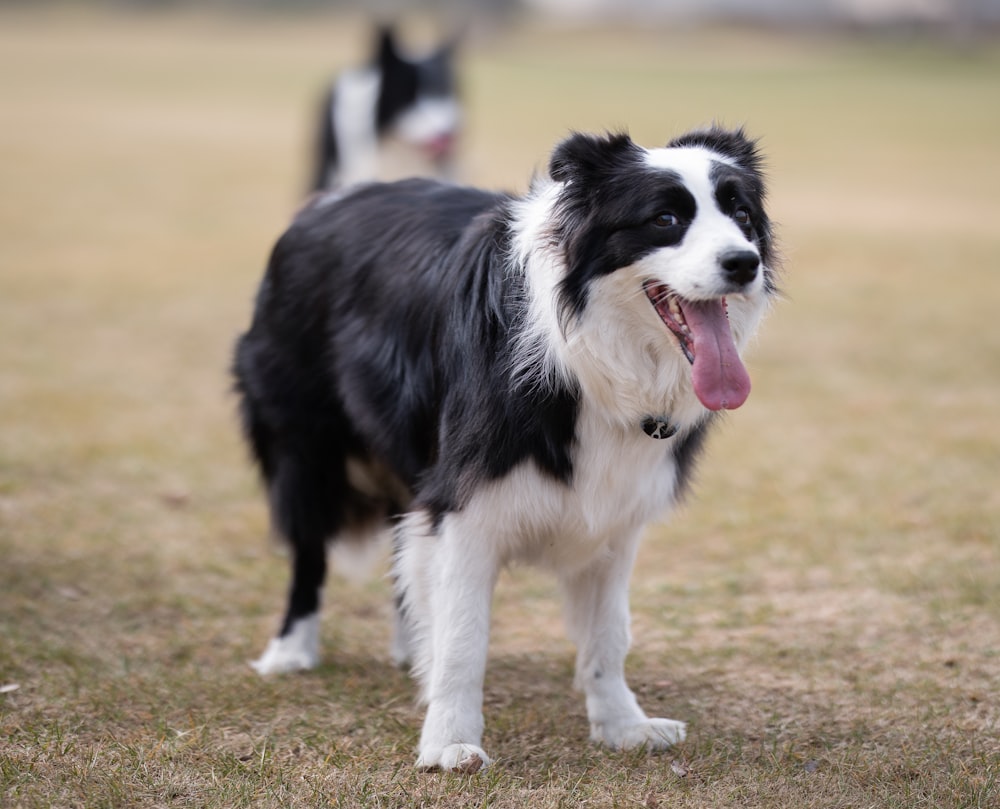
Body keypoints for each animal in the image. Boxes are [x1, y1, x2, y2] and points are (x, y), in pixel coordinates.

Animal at [236, 126, 780, 772]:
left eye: (741, 215)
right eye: (665, 218)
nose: (743, 263)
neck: (588, 353)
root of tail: (325, 203)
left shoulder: (616, 517)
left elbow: (609, 634)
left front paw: (623, 725)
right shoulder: (466, 504)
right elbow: (464, 637)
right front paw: (449, 741)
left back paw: (409, 646)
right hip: (305, 444)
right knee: (310, 551)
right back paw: (291, 651)